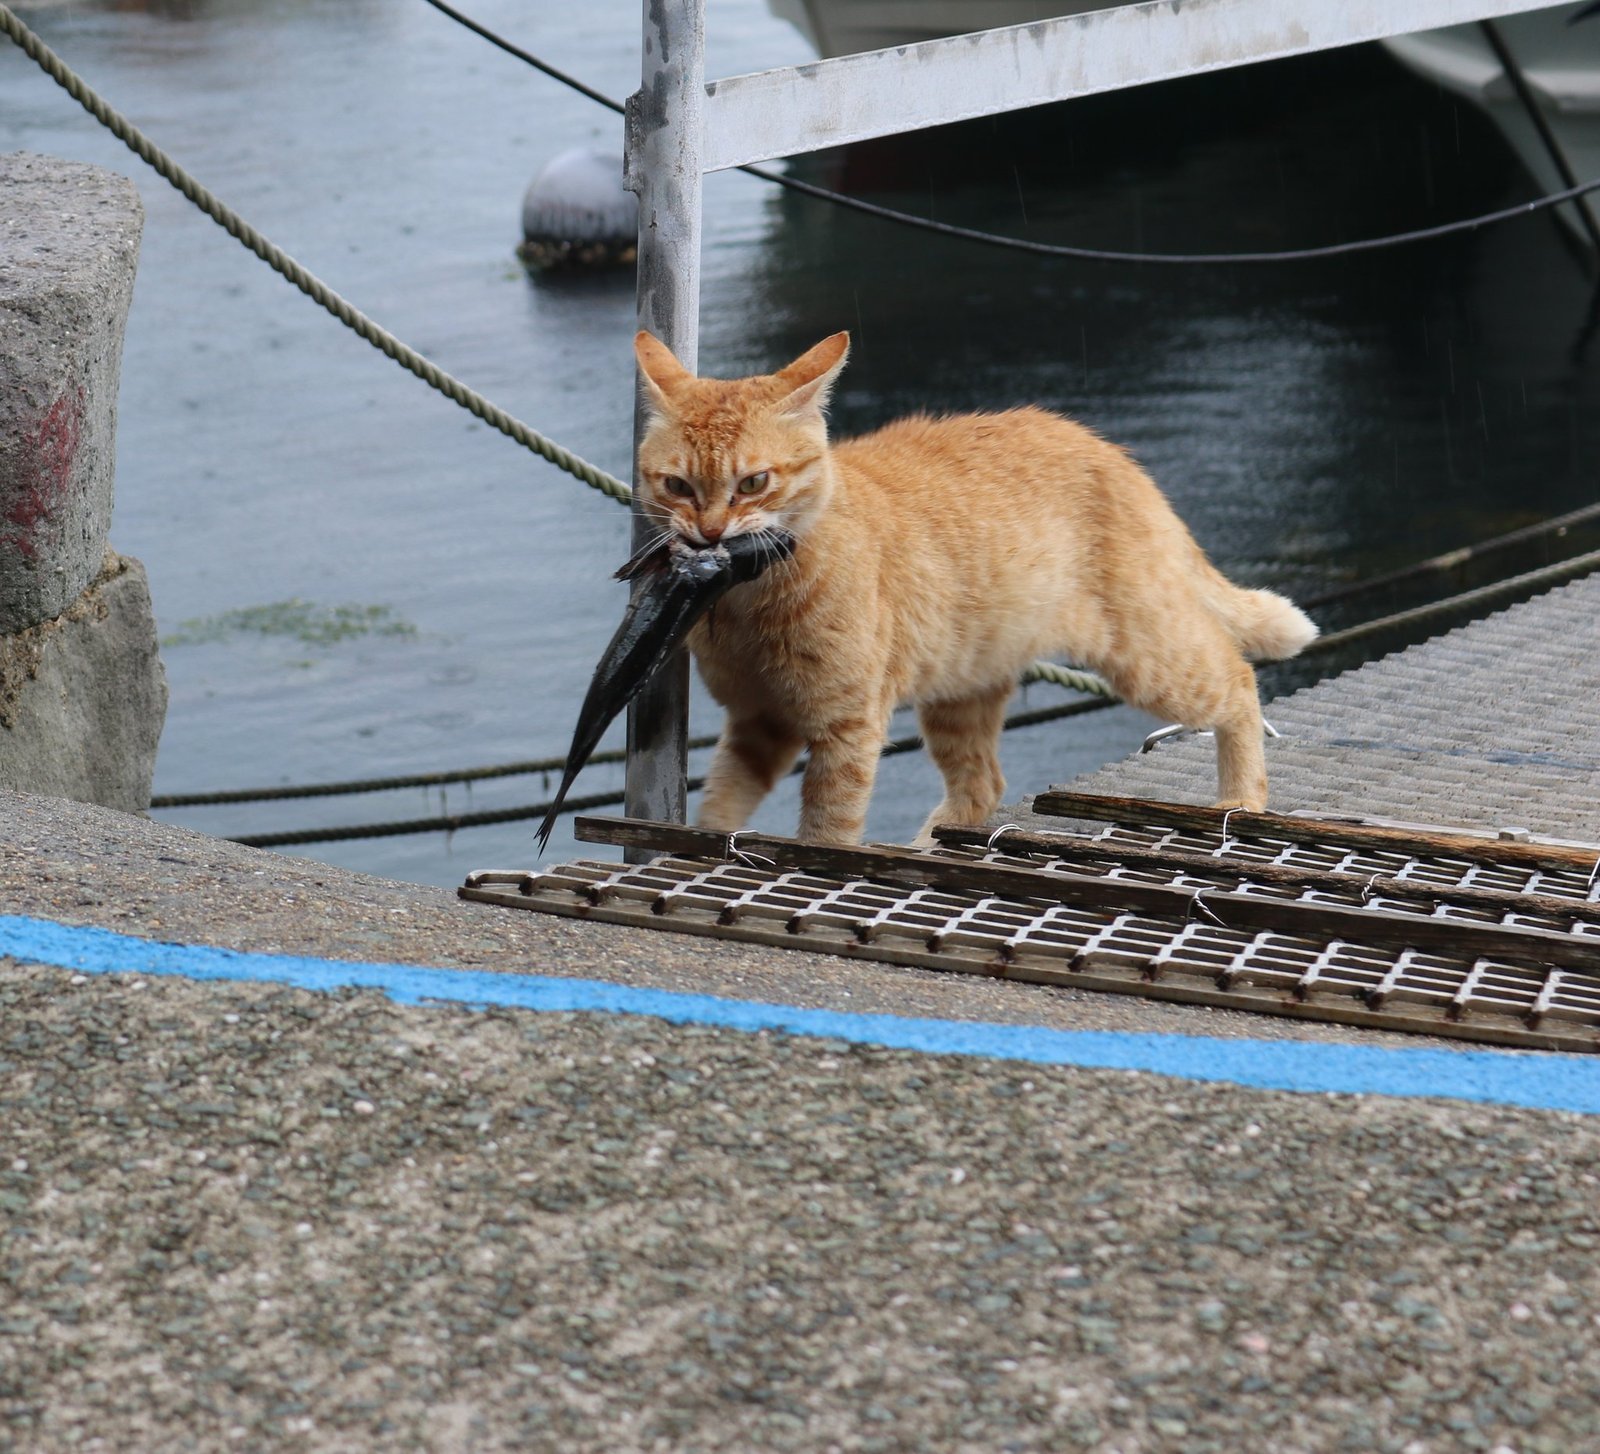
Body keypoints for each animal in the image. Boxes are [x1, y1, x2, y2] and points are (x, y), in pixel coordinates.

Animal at [630, 331, 1318, 844]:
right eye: (677, 486)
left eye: (753, 483)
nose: (710, 533)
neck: (745, 601)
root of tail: (1112, 454)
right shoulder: (758, 722)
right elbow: (719, 809)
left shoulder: (845, 728)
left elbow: (827, 829)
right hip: (962, 686)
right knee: (983, 783)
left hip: (1149, 656)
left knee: (1237, 681)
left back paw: (1241, 798)